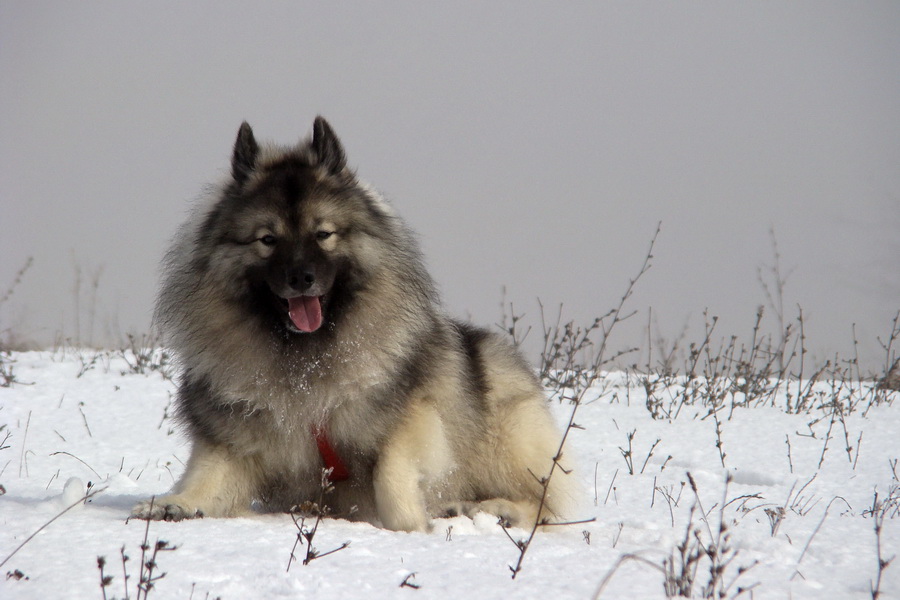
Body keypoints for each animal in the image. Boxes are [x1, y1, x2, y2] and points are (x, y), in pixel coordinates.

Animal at [137, 117, 580, 528]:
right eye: (267, 239)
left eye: (323, 234)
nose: (301, 278)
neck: (306, 364)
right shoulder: (234, 440)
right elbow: (206, 481)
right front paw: (173, 504)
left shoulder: (412, 419)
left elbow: (391, 475)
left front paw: (412, 527)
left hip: (504, 431)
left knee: (541, 504)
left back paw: (491, 510)